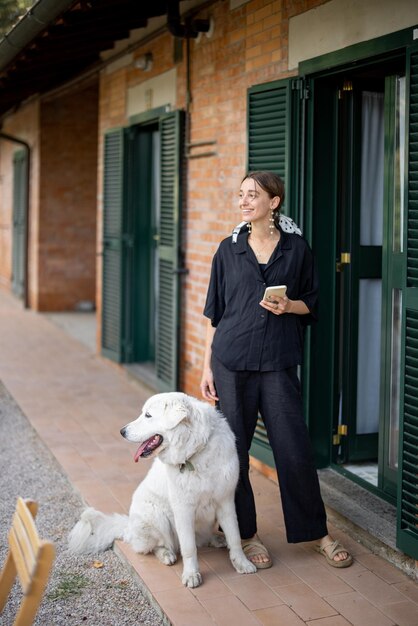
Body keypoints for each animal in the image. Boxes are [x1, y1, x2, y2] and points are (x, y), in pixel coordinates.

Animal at [68, 390, 256, 584]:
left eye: (148, 415)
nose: (122, 431)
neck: (196, 451)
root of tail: (128, 528)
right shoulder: (183, 509)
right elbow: (189, 548)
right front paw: (191, 574)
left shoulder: (225, 501)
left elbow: (235, 537)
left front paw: (242, 563)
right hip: (155, 516)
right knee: (158, 546)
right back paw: (167, 554)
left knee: (202, 539)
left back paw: (217, 539)